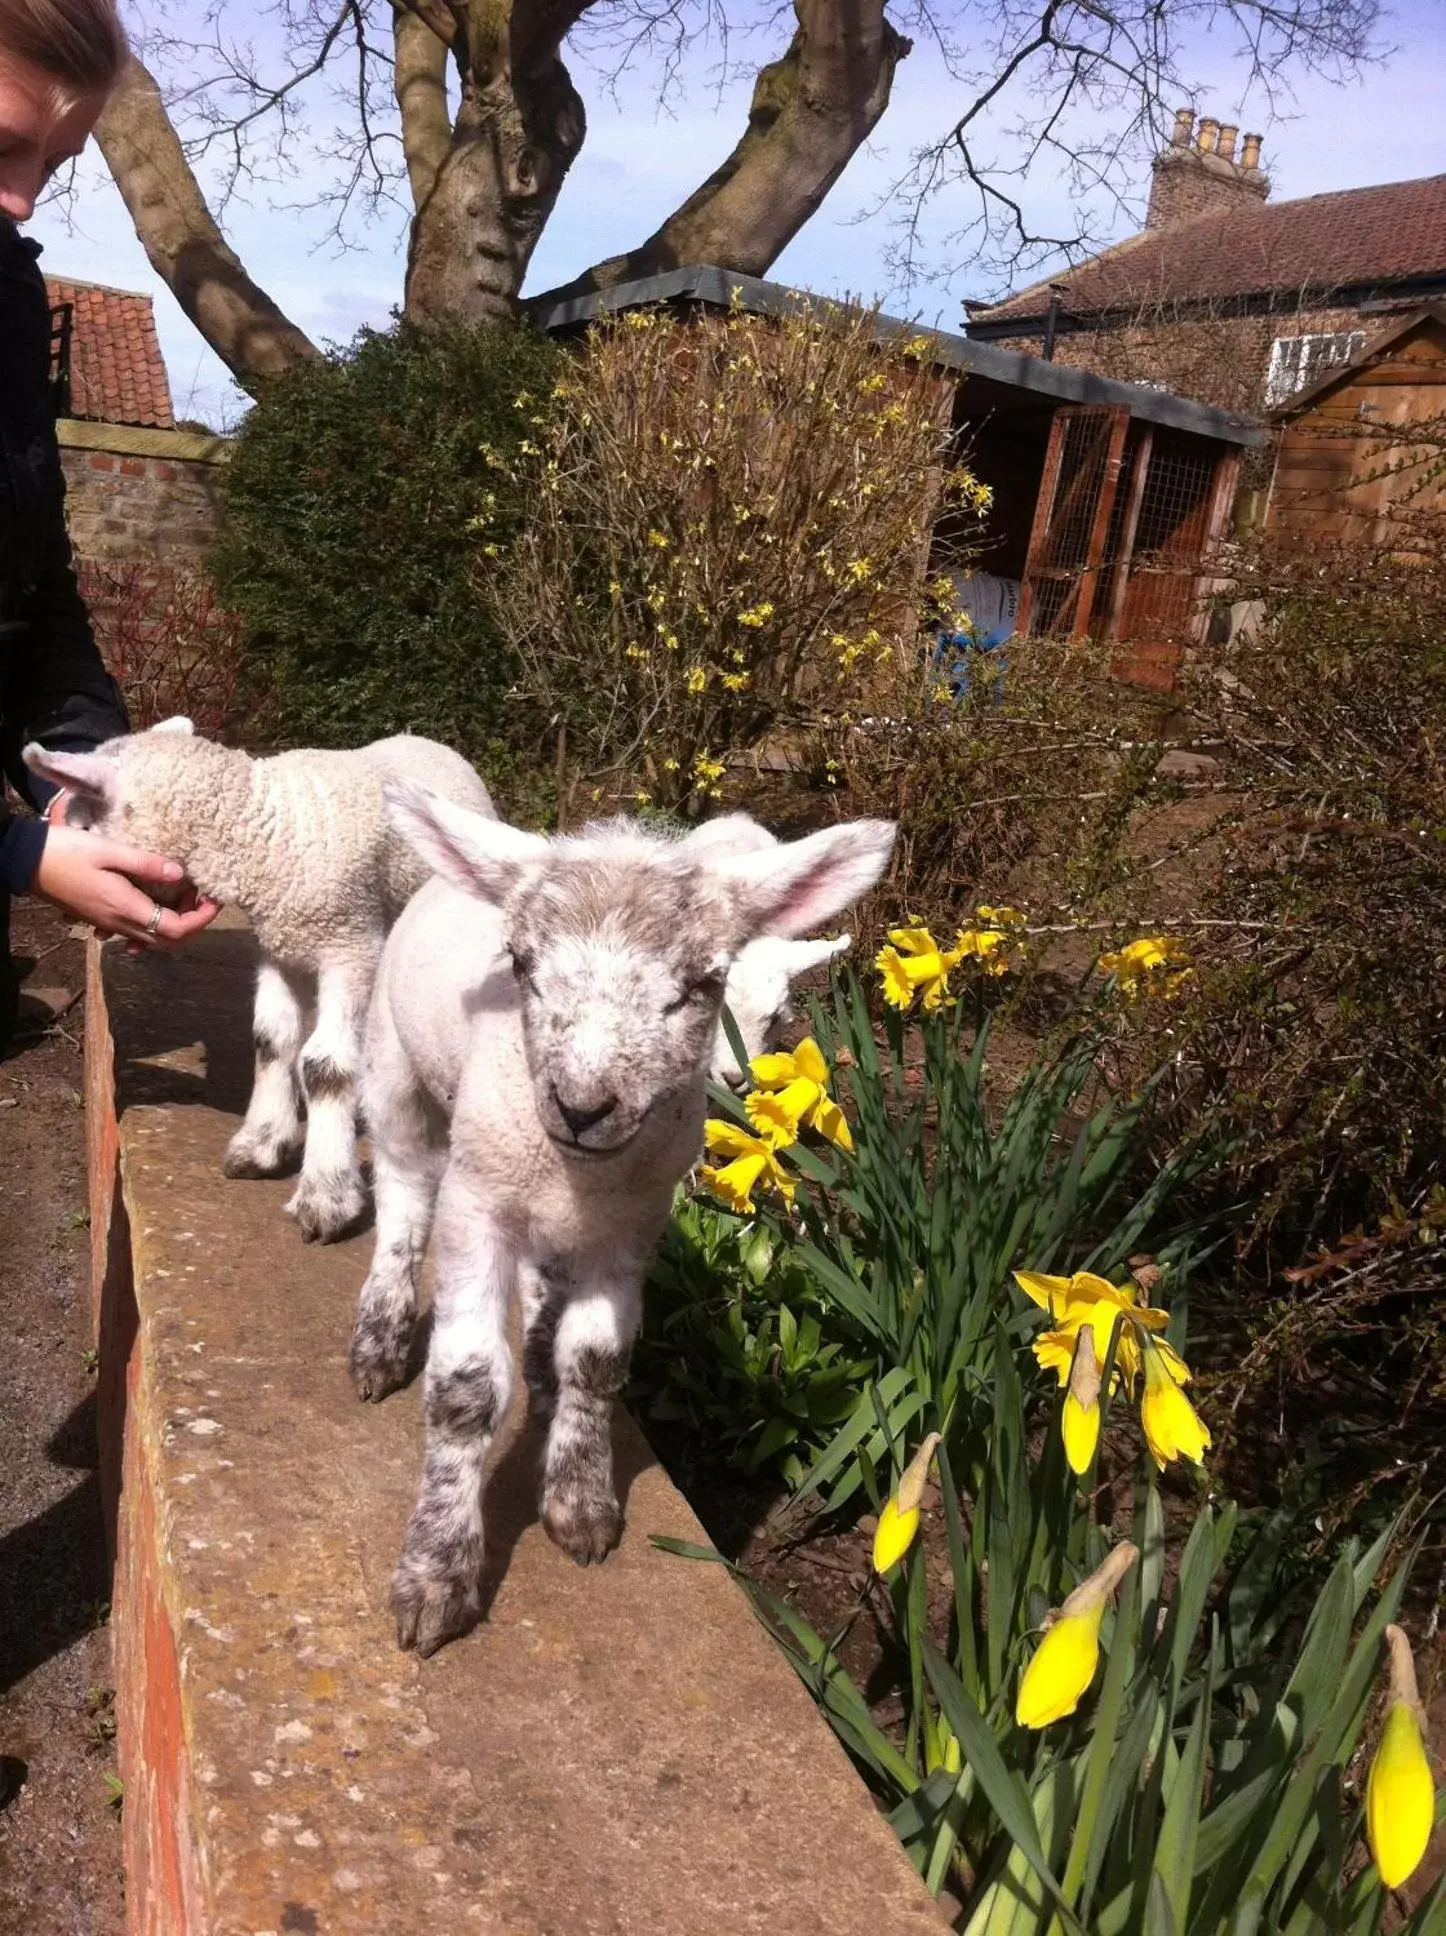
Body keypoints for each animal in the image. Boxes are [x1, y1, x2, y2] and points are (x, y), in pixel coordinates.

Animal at [21, 724, 499, 1239]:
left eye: (85, 830)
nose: (69, 913)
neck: (262, 830)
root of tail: (427, 741)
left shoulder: (350, 946)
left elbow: (326, 1065)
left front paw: (325, 1195)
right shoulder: (279, 948)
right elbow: (272, 1040)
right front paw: (262, 1143)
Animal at [348, 793, 894, 1657]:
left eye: (704, 981)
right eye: (522, 965)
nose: (582, 1107)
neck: (578, 1168)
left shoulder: (633, 1224)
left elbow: (597, 1358)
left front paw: (580, 1501)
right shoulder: (478, 1200)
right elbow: (466, 1388)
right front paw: (437, 1572)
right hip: (397, 1066)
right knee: (403, 1191)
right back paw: (381, 1337)